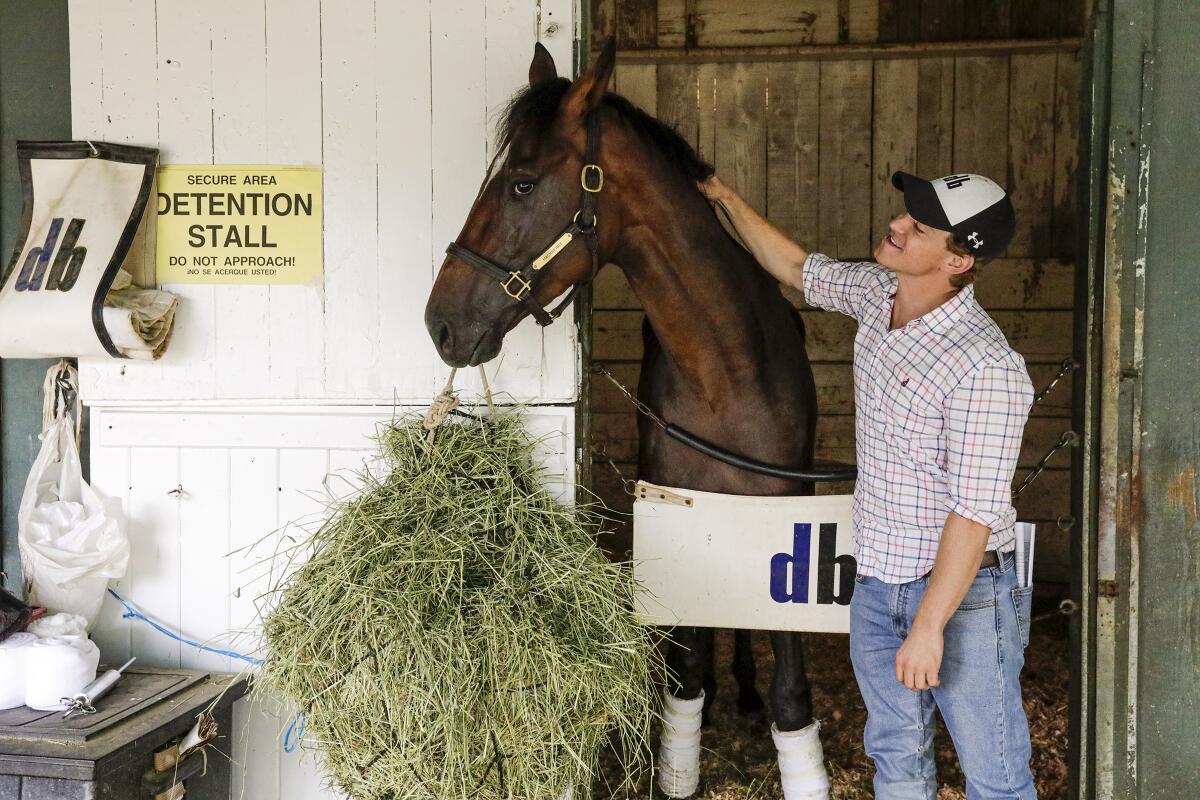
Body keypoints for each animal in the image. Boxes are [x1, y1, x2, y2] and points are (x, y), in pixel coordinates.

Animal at [427, 42, 830, 800]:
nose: (439, 324)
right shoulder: (684, 513)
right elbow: (686, 674)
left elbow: (791, 690)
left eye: (521, 184)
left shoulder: (781, 513)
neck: (727, 375)